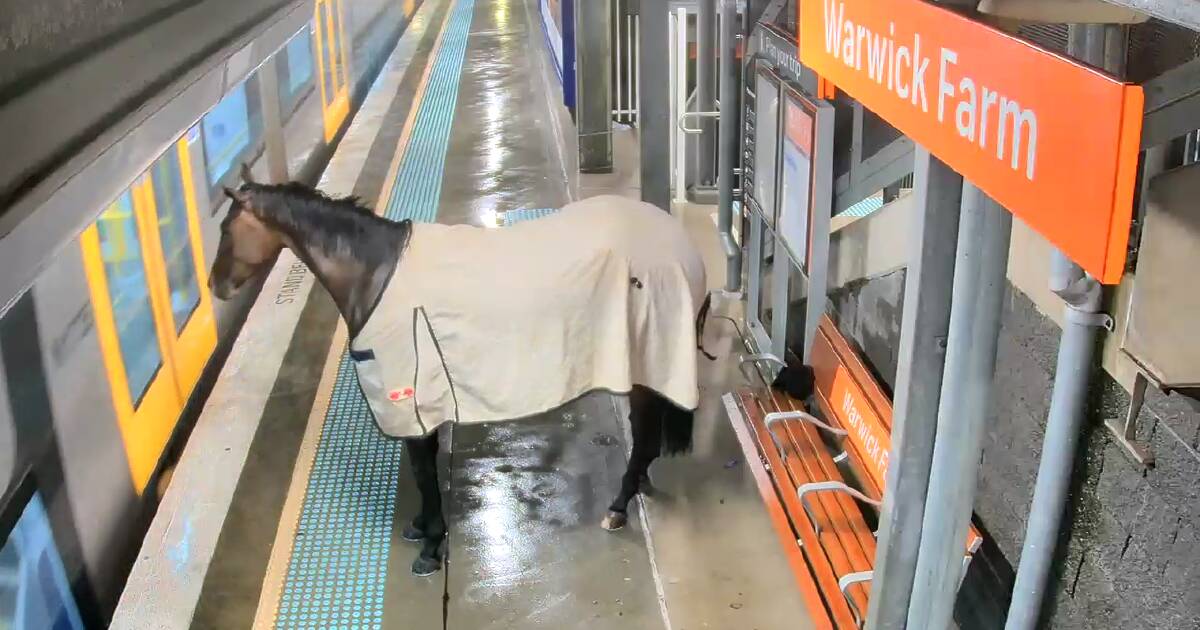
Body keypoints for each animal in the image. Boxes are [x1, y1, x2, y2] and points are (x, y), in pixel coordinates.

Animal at [210, 165, 710, 573]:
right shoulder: (424, 408)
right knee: (646, 436)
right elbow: (427, 469)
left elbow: (423, 474)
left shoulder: (409, 403)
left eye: (226, 229)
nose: (216, 287)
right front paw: (421, 527)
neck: (376, 275)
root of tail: (683, 246)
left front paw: (430, 548)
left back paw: (618, 506)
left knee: (644, 434)